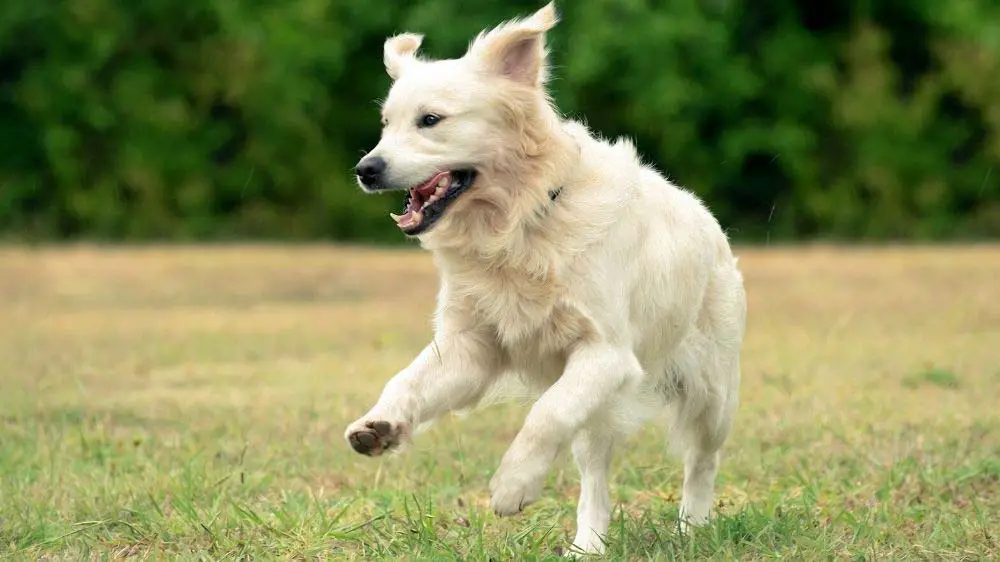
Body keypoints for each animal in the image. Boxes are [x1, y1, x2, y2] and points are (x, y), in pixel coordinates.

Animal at [348, 2, 748, 552]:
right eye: (386, 124)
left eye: (430, 120)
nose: (366, 168)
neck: (521, 222)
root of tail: (710, 221)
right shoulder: (470, 347)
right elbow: (408, 378)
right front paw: (380, 423)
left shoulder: (606, 354)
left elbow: (545, 415)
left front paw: (511, 487)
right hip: (601, 413)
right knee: (595, 478)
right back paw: (588, 546)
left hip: (712, 394)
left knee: (701, 459)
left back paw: (693, 524)